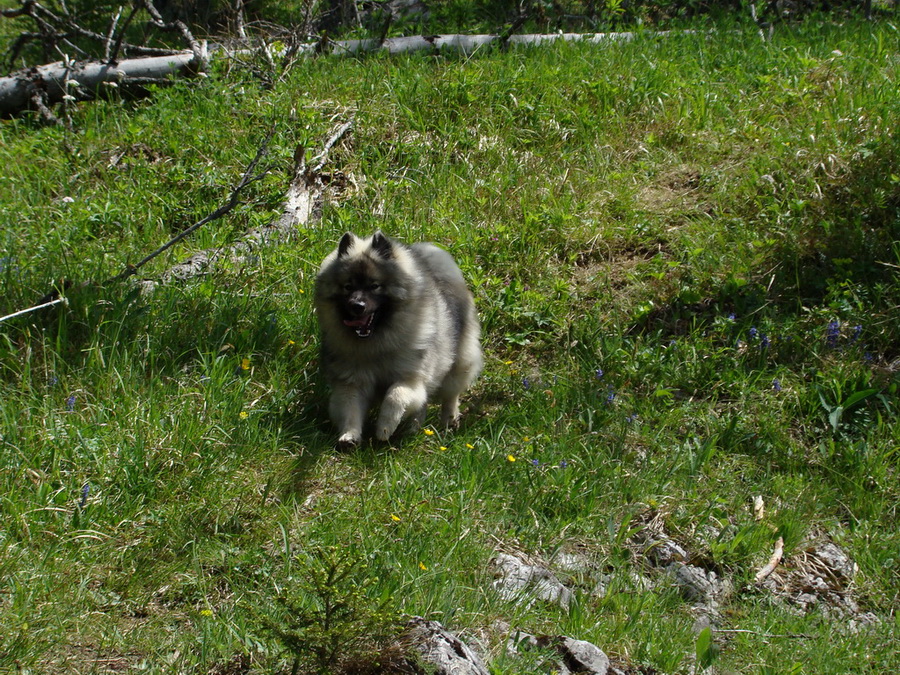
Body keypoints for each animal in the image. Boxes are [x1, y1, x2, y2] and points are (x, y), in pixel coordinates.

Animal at [316, 232, 486, 448]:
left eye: (374, 286)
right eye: (348, 287)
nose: (357, 305)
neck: (375, 345)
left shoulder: (410, 379)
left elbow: (395, 397)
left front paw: (384, 428)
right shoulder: (351, 382)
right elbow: (350, 409)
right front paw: (349, 436)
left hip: (459, 360)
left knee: (450, 394)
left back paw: (449, 420)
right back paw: (413, 428)